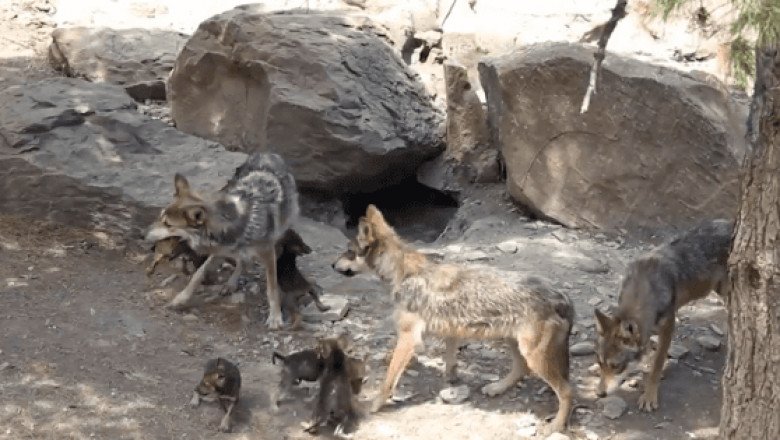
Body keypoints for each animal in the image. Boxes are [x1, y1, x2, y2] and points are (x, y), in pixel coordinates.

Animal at [144, 152, 299, 329]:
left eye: (168, 224)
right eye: (160, 217)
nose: (144, 233)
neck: (240, 222)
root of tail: (268, 154)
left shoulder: (267, 252)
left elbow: (272, 288)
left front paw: (275, 318)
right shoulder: (220, 249)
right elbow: (198, 274)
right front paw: (180, 299)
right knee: (241, 261)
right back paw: (231, 284)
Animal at [331, 205, 575, 434]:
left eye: (349, 251)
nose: (332, 265)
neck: (404, 274)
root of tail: (563, 296)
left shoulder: (408, 338)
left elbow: (387, 381)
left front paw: (372, 406)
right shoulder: (450, 330)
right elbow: (450, 358)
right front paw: (451, 379)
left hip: (533, 355)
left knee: (565, 390)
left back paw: (555, 426)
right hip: (513, 342)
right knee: (522, 369)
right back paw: (496, 388)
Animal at [594, 218, 732, 412]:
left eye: (616, 366)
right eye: (600, 363)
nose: (599, 394)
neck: (644, 290)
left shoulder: (669, 326)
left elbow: (657, 363)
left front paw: (649, 395)